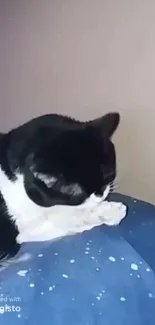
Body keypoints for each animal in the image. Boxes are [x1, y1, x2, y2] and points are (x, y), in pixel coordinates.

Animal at [0, 111, 126, 260]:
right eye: (78, 193)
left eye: (108, 175)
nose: (100, 195)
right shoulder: (24, 230)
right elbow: (65, 217)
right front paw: (110, 211)